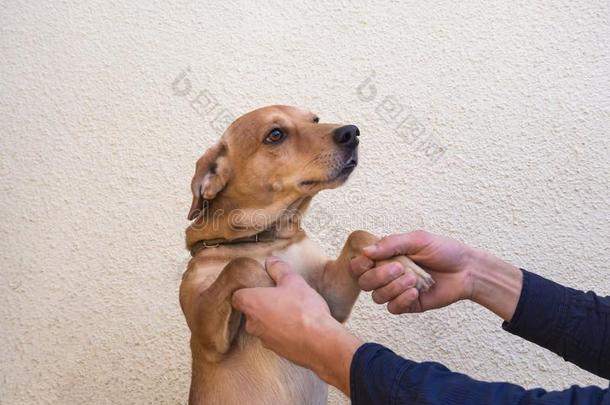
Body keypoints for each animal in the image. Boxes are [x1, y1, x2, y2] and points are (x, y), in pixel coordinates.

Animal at [178, 105, 430, 404]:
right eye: (275, 134)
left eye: (315, 119)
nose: (352, 132)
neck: (265, 240)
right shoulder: (205, 334)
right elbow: (241, 264)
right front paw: (269, 291)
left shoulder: (331, 300)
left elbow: (357, 235)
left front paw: (404, 265)